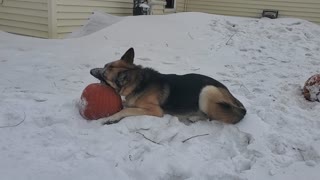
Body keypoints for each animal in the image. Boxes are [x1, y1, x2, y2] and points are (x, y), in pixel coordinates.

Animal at [91, 48, 246, 126]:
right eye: (104, 65)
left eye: (104, 74)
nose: (91, 70)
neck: (139, 83)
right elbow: (126, 104)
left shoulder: (155, 110)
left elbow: (127, 110)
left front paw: (111, 118)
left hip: (207, 90)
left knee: (212, 116)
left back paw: (195, 118)